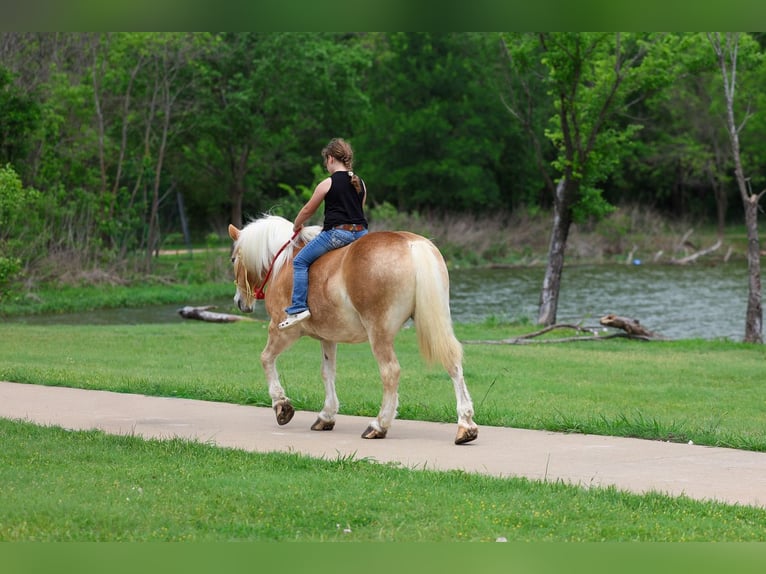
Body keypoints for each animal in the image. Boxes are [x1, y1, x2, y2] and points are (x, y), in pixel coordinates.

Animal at [228, 215, 478, 444]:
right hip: (438, 322)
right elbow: (327, 372)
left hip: (379, 333)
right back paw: (466, 425)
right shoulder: (328, 337)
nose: (240, 302)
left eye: (232, 259)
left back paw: (379, 425)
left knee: (390, 372)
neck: (284, 262)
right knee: (453, 364)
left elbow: (266, 359)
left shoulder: (282, 331)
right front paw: (326, 415)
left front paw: (281, 405)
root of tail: (411, 244)